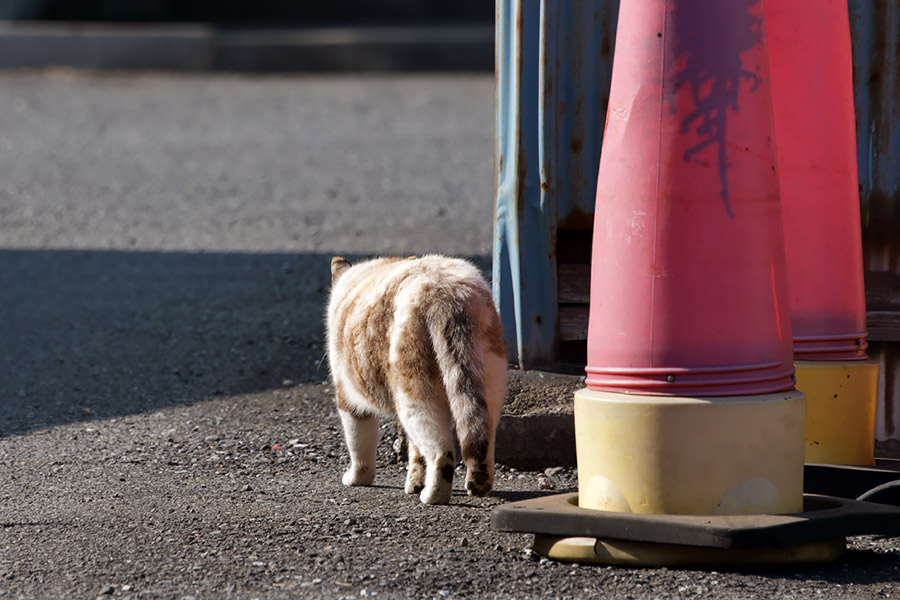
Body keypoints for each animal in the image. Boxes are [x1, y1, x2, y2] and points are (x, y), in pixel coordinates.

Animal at [326, 255, 510, 504]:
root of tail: (447, 294)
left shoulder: (349, 397)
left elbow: (359, 445)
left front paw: (357, 479)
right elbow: (415, 453)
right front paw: (414, 482)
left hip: (413, 395)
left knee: (441, 453)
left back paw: (433, 496)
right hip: (488, 379)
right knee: (481, 437)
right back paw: (477, 484)